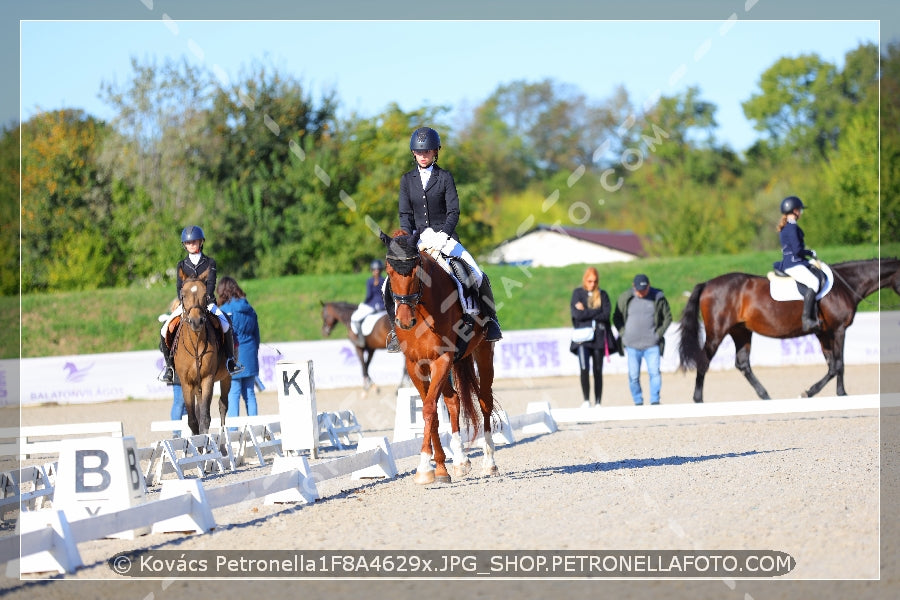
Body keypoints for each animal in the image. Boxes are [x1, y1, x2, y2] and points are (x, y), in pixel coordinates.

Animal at [171, 272, 230, 436]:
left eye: (205, 295)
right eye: (183, 295)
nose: (196, 321)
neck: (195, 345)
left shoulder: (207, 379)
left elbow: (205, 417)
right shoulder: (186, 383)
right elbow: (192, 419)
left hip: (226, 377)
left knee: (223, 405)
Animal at [380, 227, 500, 486]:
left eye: (416, 272)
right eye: (389, 272)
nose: (405, 321)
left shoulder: (441, 360)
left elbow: (428, 409)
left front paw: (425, 468)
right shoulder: (416, 365)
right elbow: (432, 411)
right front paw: (440, 469)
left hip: (483, 352)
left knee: (484, 401)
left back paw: (489, 463)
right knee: (453, 400)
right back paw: (460, 461)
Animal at [680, 255, 896, 400]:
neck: (845, 285)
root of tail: (707, 283)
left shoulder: (824, 333)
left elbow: (832, 364)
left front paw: (833, 392)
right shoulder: (838, 329)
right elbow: (838, 364)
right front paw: (827, 393)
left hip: (741, 331)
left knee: (743, 364)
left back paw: (766, 396)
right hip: (718, 332)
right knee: (704, 361)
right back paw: (698, 400)